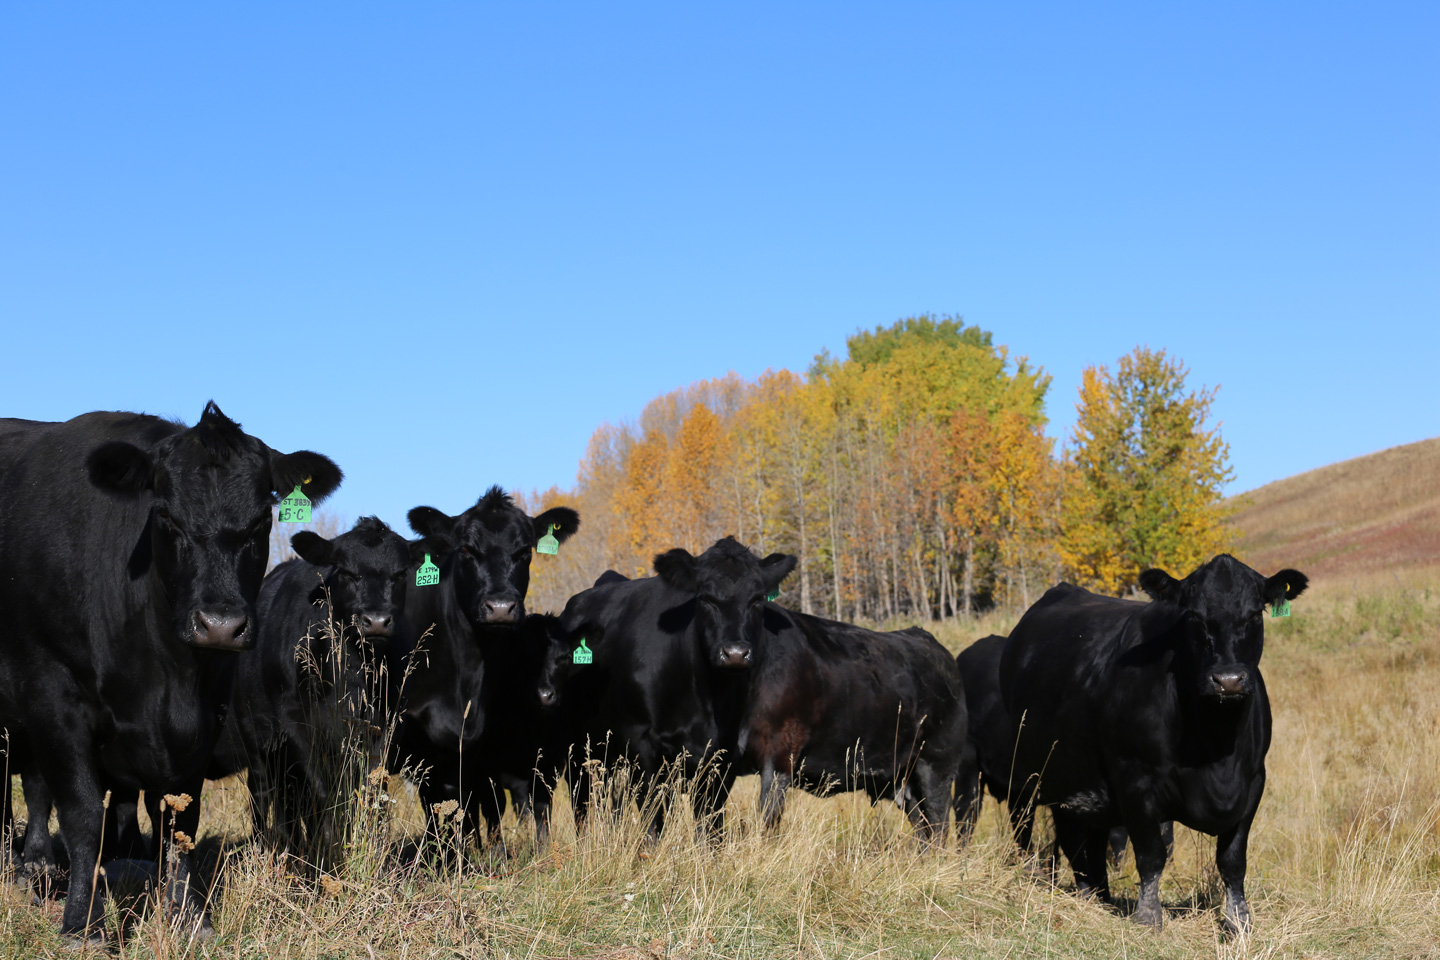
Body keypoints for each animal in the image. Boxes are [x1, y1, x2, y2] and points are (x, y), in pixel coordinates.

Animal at [208, 518, 429, 863]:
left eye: (401, 573)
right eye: (347, 571)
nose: (376, 620)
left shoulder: (386, 724)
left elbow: (371, 794)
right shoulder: (296, 723)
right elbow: (326, 795)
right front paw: (330, 854)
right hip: (256, 738)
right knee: (266, 796)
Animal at [555, 538, 800, 846]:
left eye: (757, 599)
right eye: (705, 598)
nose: (734, 653)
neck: (706, 698)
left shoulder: (725, 755)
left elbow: (710, 828)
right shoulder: (643, 747)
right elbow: (653, 822)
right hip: (577, 748)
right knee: (583, 805)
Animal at [743, 613, 967, 846]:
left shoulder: (777, 759)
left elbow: (768, 817)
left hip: (935, 768)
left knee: (938, 826)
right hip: (906, 783)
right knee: (923, 830)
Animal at [996, 555, 1313, 932]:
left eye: (1254, 614)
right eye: (1195, 617)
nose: (1228, 680)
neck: (1217, 751)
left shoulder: (1253, 782)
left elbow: (1233, 860)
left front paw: (1239, 921)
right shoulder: (1135, 778)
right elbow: (1152, 855)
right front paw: (1148, 918)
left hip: (1076, 781)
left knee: (1083, 841)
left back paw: (1096, 896)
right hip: (1027, 776)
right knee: (1031, 832)